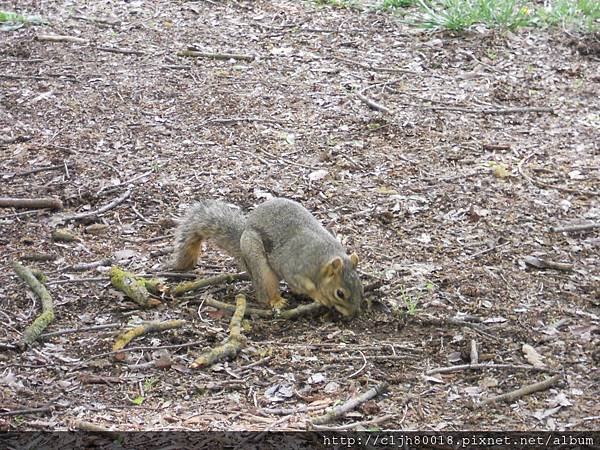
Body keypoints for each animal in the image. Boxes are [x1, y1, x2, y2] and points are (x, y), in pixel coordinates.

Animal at [171, 197, 364, 316]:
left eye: (360, 286)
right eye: (340, 293)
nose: (353, 313)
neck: (322, 258)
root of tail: (242, 235)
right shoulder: (294, 269)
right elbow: (305, 285)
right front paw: (320, 296)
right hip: (260, 266)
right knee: (264, 292)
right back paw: (276, 301)